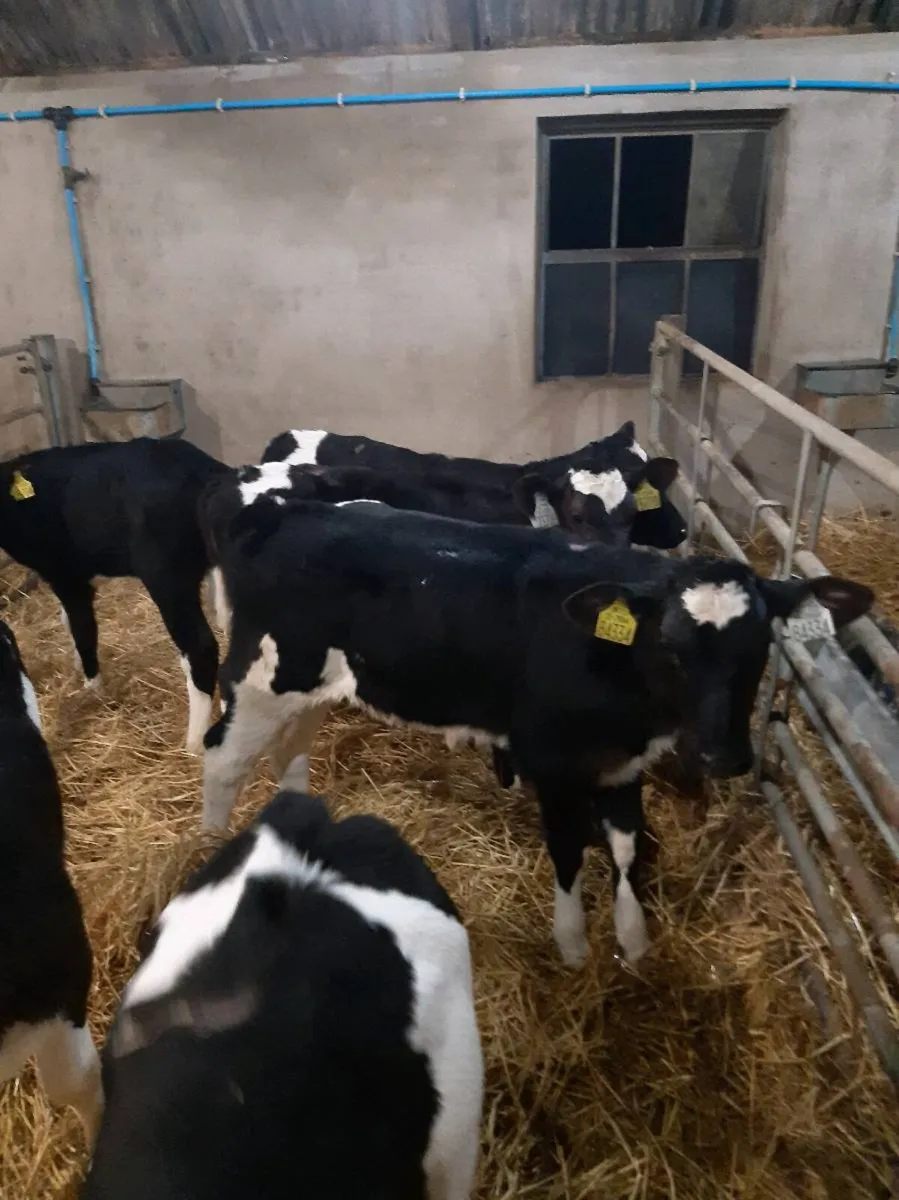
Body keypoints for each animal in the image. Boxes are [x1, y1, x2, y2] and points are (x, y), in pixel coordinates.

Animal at [0, 439, 231, 752]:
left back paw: (194, 743)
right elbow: (67, 621)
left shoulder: (66, 575)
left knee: (200, 648)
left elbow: (83, 628)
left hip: (167, 574)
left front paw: (91, 689)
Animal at [199, 498, 872, 965]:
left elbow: (626, 845)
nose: (722, 755)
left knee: (290, 748)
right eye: (672, 647)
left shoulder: (622, 763)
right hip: (260, 678)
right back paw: (207, 849)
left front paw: (633, 939)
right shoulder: (550, 760)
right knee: (222, 758)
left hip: (313, 686)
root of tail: (277, 511)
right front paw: (572, 943)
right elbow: (569, 847)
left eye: (760, 648)